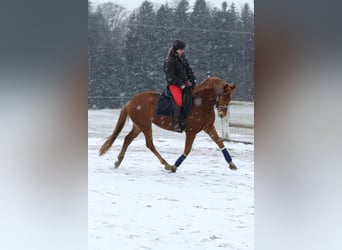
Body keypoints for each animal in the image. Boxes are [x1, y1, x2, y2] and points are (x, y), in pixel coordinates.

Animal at [99, 77, 235, 173]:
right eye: (224, 95)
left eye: (230, 97)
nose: (222, 114)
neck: (202, 103)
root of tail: (131, 101)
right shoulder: (191, 131)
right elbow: (187, 149)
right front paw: (175, 166)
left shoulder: (209, 127)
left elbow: (220, 143)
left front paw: (232, 164)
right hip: (145, 125)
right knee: (149, 144)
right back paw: (167, 164)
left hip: (139, 126)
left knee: (128, 139)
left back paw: (118, 161)